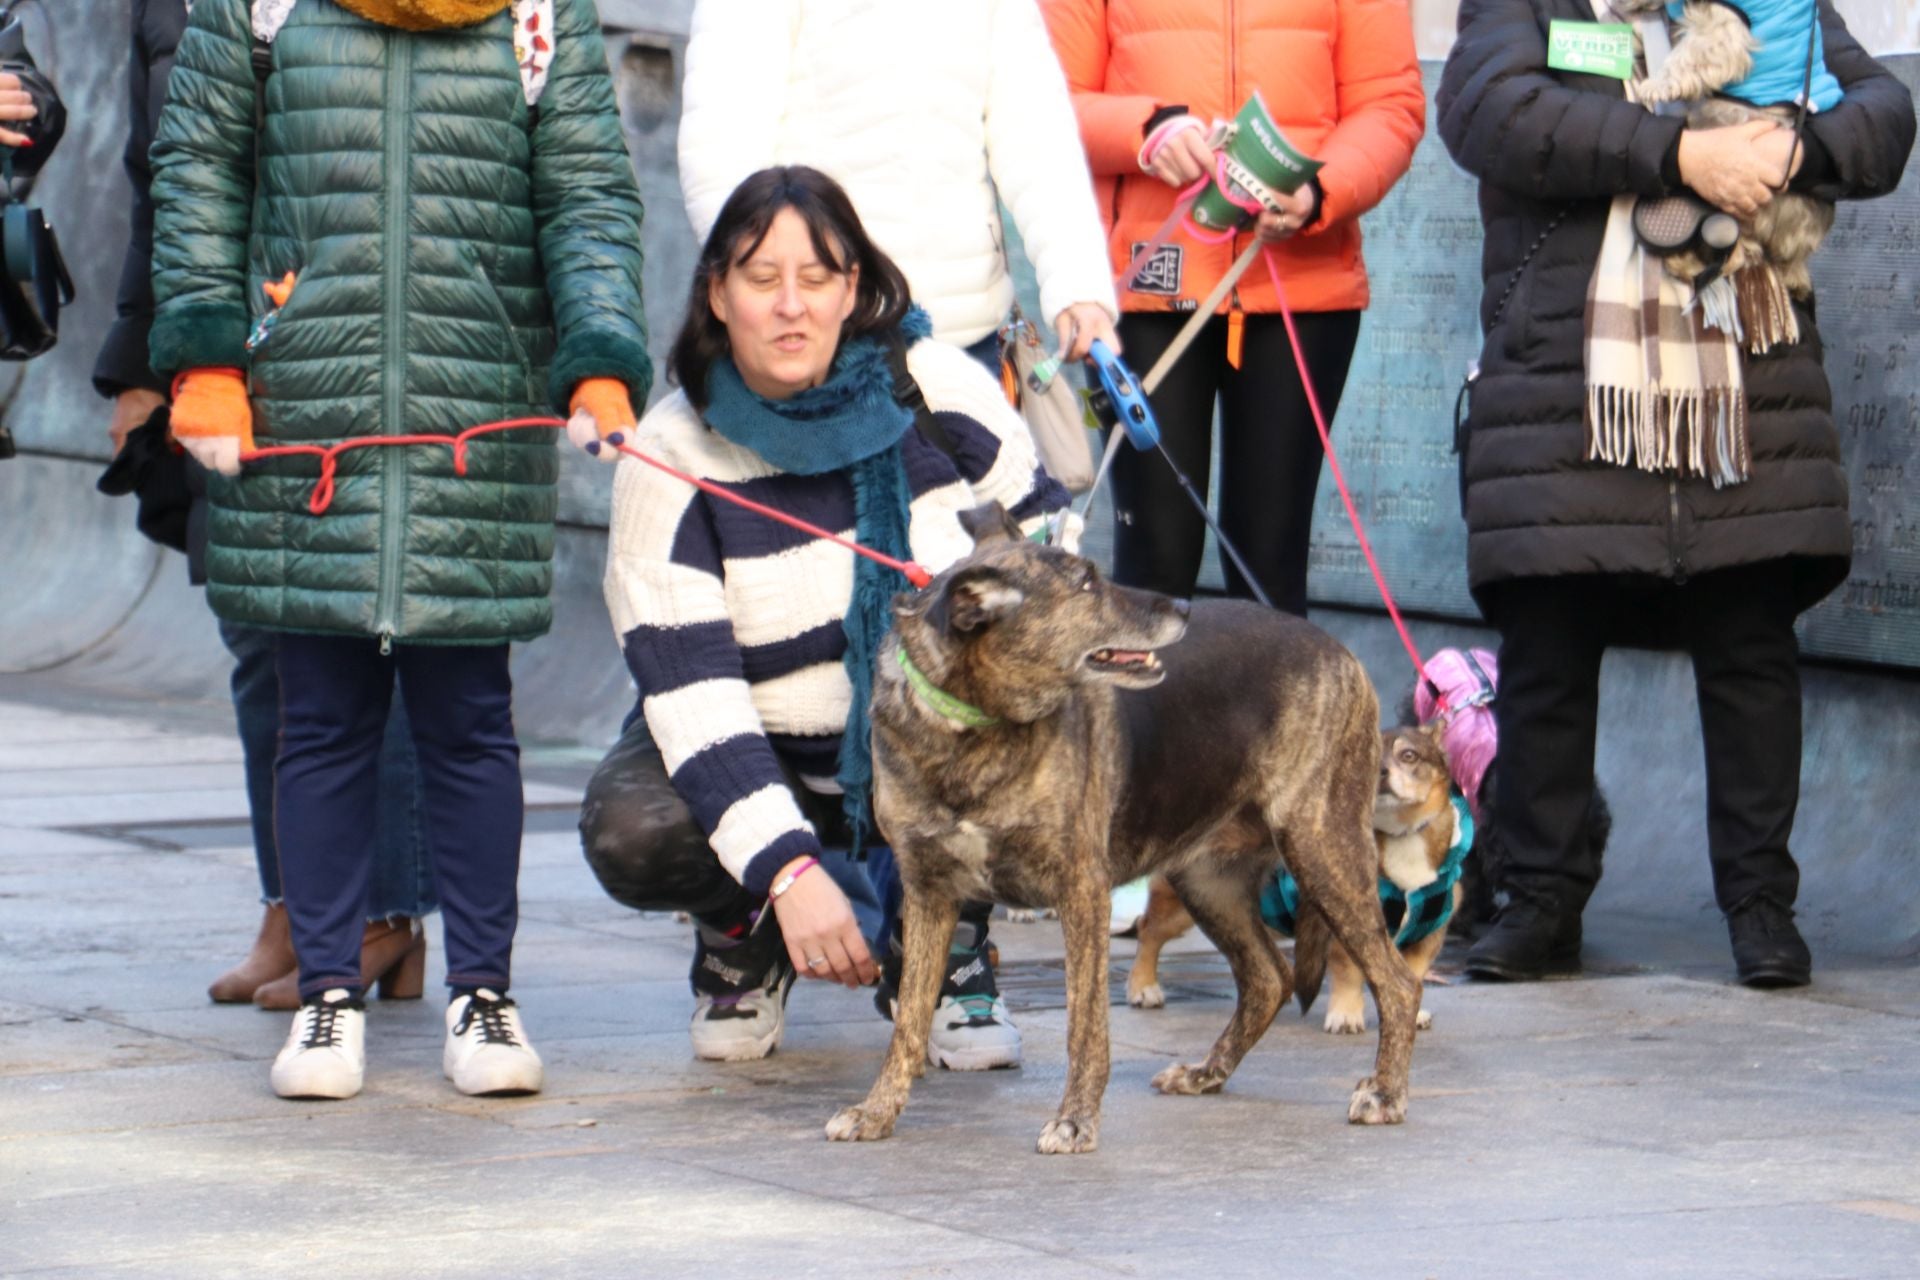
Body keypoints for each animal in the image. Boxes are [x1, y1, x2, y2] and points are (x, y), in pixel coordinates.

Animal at [829, 506, 1428, 1159]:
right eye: (1087, 583)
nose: (1185, 607)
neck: (974, 728)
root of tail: (1335, 646)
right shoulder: (929, 893)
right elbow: (909, 1021)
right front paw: (876, 1111)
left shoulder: (1080, 892)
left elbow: (1085, 1025)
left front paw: (1074, 1120)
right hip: (1208, 879)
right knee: (1269, 979)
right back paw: (1208, 1073)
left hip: (1322, 848)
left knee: (1398, 983)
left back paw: (1386, 1093)